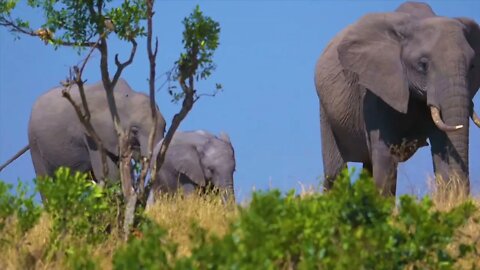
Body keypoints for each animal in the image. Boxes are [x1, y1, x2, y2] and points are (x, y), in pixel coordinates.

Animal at [316, 2, 480, 196]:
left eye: (472, 66)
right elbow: (385, 157)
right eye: (423, 65)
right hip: (325, 110)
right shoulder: (375, 91)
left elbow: (443, 148)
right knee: (335, 172)